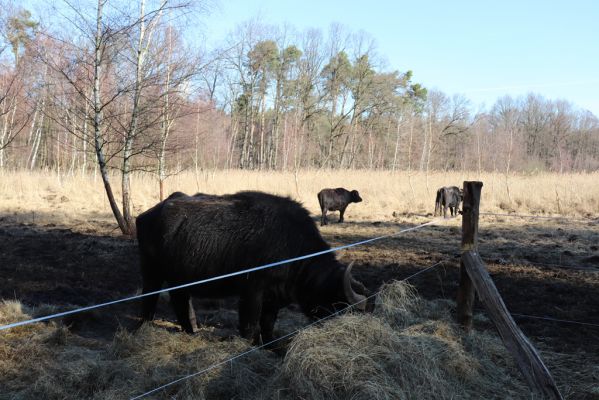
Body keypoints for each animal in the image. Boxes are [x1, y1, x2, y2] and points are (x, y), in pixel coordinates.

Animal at [137, 191, 370, 344]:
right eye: (340, 307)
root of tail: (148, 214)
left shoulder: (274, 299)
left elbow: (267, 326)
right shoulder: (252, 293)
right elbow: (249, 326)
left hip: (179, 279)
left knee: (181, 302)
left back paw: (192, 331)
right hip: (151, 273)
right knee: (149, 299)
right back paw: (144, 328)